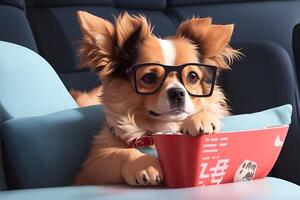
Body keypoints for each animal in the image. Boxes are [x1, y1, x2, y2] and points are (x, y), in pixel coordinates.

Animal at [72, 10, 239, 186]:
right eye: (149, 77)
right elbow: (119, 153)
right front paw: (144, 164)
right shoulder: (92, 166)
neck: (162, 129)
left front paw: (201, 119)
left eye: (192, 77)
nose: (177, 93)